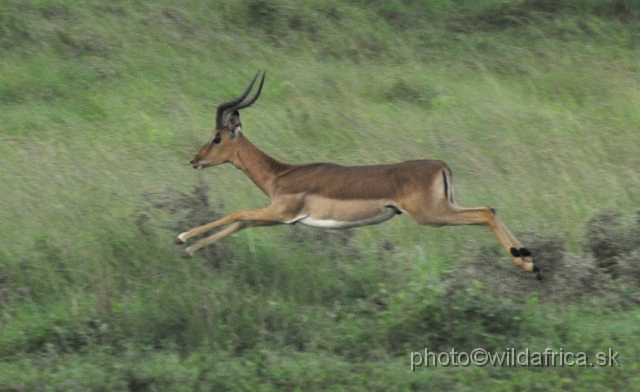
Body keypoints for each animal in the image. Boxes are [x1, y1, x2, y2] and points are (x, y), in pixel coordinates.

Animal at [175, 70, 540, 278]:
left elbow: (237, 214)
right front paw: (191, 250)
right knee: (491, 209)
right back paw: (529, 261)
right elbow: (241, 223)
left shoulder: (281, 212)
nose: (194, 161)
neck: (280, 175)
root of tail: (441, 165)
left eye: (216, 137)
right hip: (445, 208)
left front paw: (182, 239)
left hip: (432, 215)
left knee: (484, 213)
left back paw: (524, 262)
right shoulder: (277, 217)